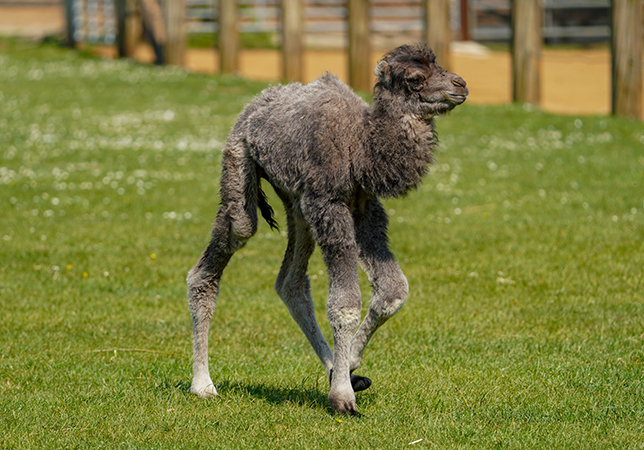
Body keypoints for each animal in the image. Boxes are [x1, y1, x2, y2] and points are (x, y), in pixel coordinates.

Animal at [187, 44, 468, 415]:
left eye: (438, 64)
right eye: (415, 78)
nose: (460, 84)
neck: (361, 146)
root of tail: (255, 106)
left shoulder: (363, 206)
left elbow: (394, 291)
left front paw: (351, 365)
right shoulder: (329, 203)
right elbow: (345, 303)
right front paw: (343, 397)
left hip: (297, 204)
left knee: (290, 282)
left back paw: (337, 367)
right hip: (240, 162)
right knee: (226, 246)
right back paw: (203, 383)